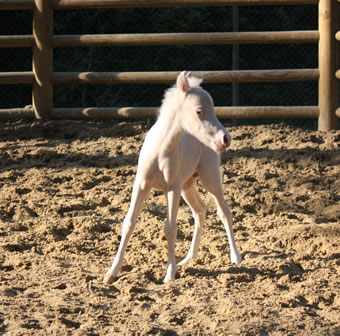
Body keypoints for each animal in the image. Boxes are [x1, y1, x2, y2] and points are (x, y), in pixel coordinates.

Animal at [104, 71, 242, 284]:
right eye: (199, 111)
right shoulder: (141, 185)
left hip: (209, 178)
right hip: (187, 185)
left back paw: (235, 257)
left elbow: (170, 228)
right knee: (200, 210)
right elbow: (128, 222)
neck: (161, 150)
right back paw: (188, 258)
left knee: (224, 211)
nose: (225, 139)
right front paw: (111, 273)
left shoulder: (172, 188)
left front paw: (169, 274)